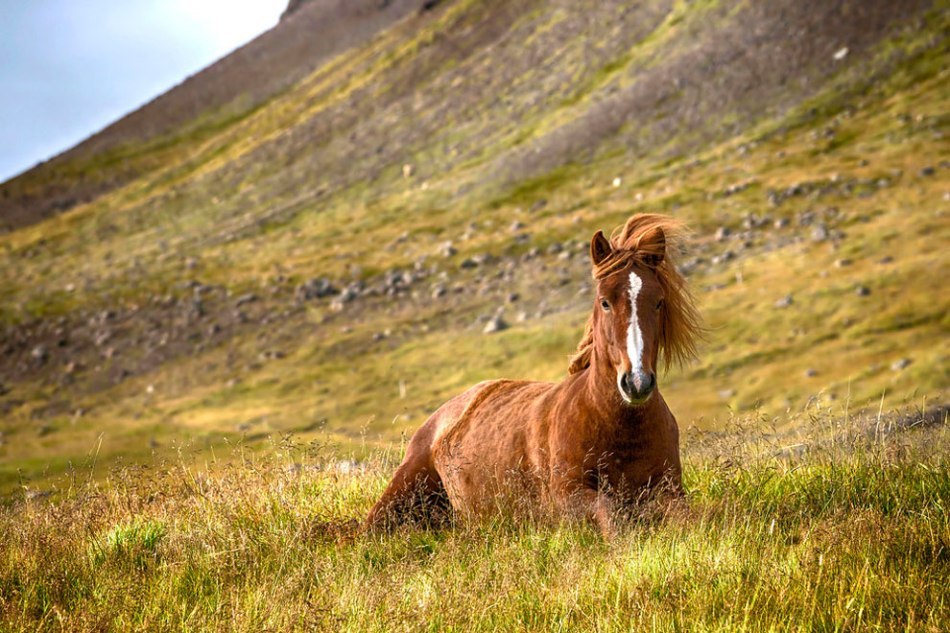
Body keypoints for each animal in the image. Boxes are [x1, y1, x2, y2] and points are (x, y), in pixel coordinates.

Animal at [368, 212, 704, 532]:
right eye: (605, 302)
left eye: (658, 302)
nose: (636, 383)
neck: (617, 425)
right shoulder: (567, 497)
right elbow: (611, 517)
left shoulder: (670, 491)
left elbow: (689, 518)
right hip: (398, 495)